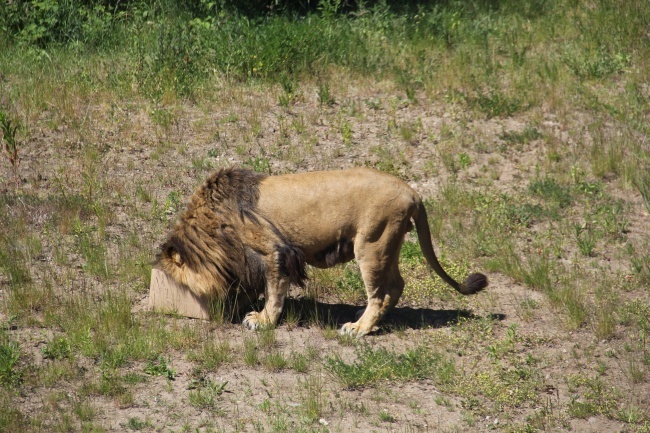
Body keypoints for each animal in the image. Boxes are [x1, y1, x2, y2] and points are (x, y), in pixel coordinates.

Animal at [154, 167, 484, 336]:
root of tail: (412, 191)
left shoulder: (274, 252)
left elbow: (274, 291)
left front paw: (262, 320)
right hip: (387, 246)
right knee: (396, 285)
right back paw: (371, 317)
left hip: (371, 245)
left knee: (379, 292)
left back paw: (359, 328)